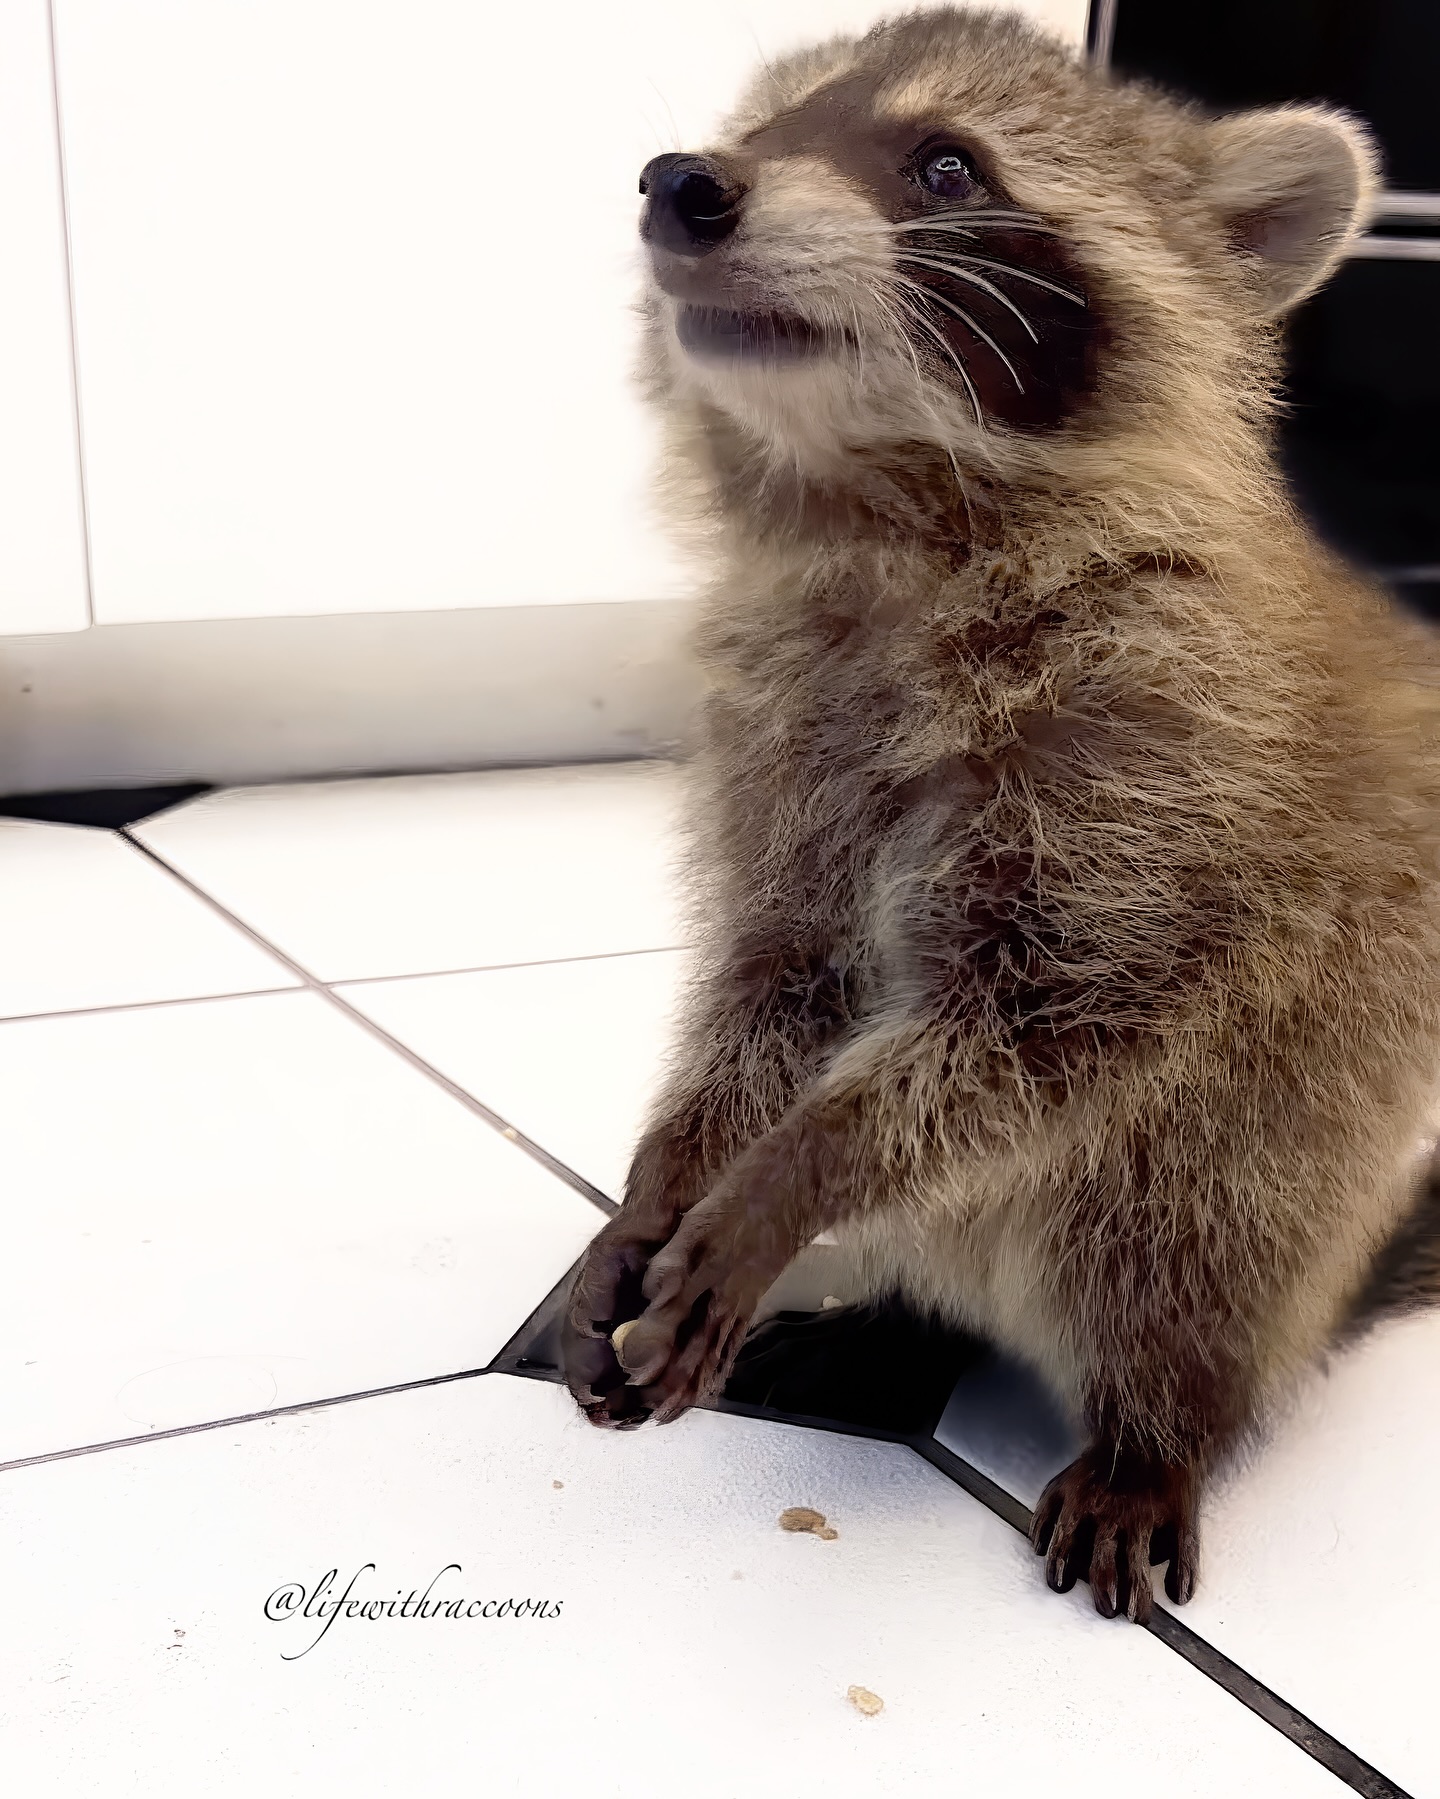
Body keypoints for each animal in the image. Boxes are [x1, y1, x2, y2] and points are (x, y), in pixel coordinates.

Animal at [559, 5, 1440, 1623]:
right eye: (764, 129)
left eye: (947, 165)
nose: (684, 183)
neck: (880, 507)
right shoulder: (781, 741)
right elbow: (770, 983)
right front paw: (672, 1170)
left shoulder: (1161, 754)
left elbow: (1035, 1022)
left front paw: (799, 1169)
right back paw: (911, 1311)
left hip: (1274, 1147)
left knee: (1189, 1231)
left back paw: (1160, 1418)